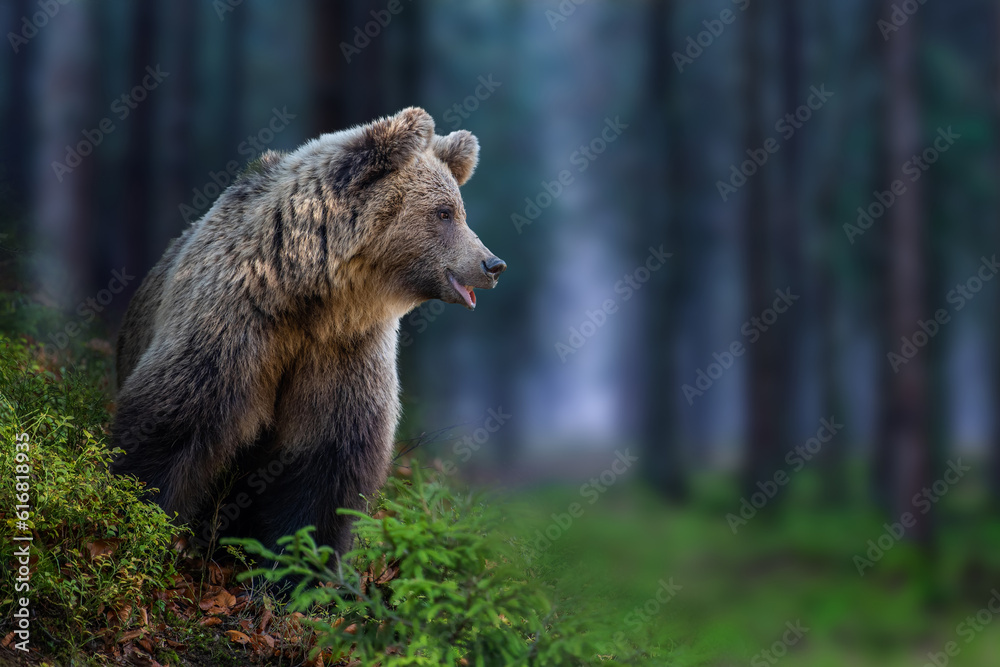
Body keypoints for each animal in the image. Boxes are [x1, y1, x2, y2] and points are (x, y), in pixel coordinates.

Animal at [110, 107, 506, 557]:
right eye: (444, 212)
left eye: (458, 210)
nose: (493, 264)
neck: (309, 294)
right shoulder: (233, 322)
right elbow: (176, 421)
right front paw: (141, 511)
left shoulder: (343, 347)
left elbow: (328, 458)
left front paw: (301, 559)